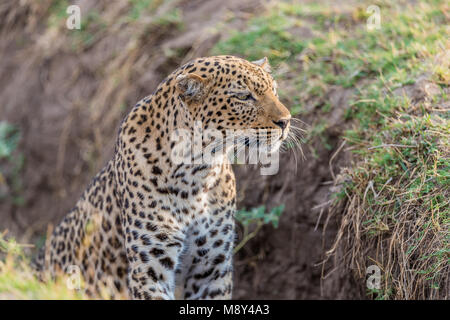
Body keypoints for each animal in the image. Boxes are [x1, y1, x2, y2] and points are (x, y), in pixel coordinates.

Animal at [33, 55, 290, 300]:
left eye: (274, 91)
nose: (286, 121)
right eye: (244, 97)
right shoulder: (150, 267)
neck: (197, 173)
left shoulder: (212, 268)